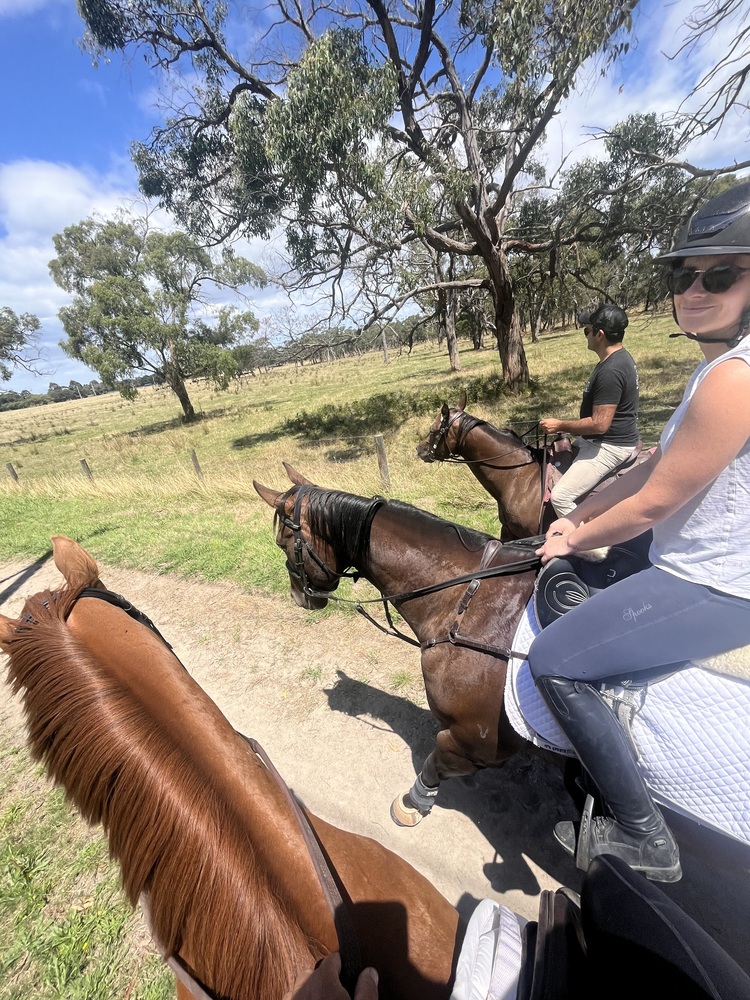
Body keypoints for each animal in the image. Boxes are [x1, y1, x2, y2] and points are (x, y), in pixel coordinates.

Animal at [254, 467, 750, 877]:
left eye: (284, 543)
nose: (301, 597)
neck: (467, 596)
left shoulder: (477, 740)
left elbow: (435, 759)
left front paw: (413, 802)